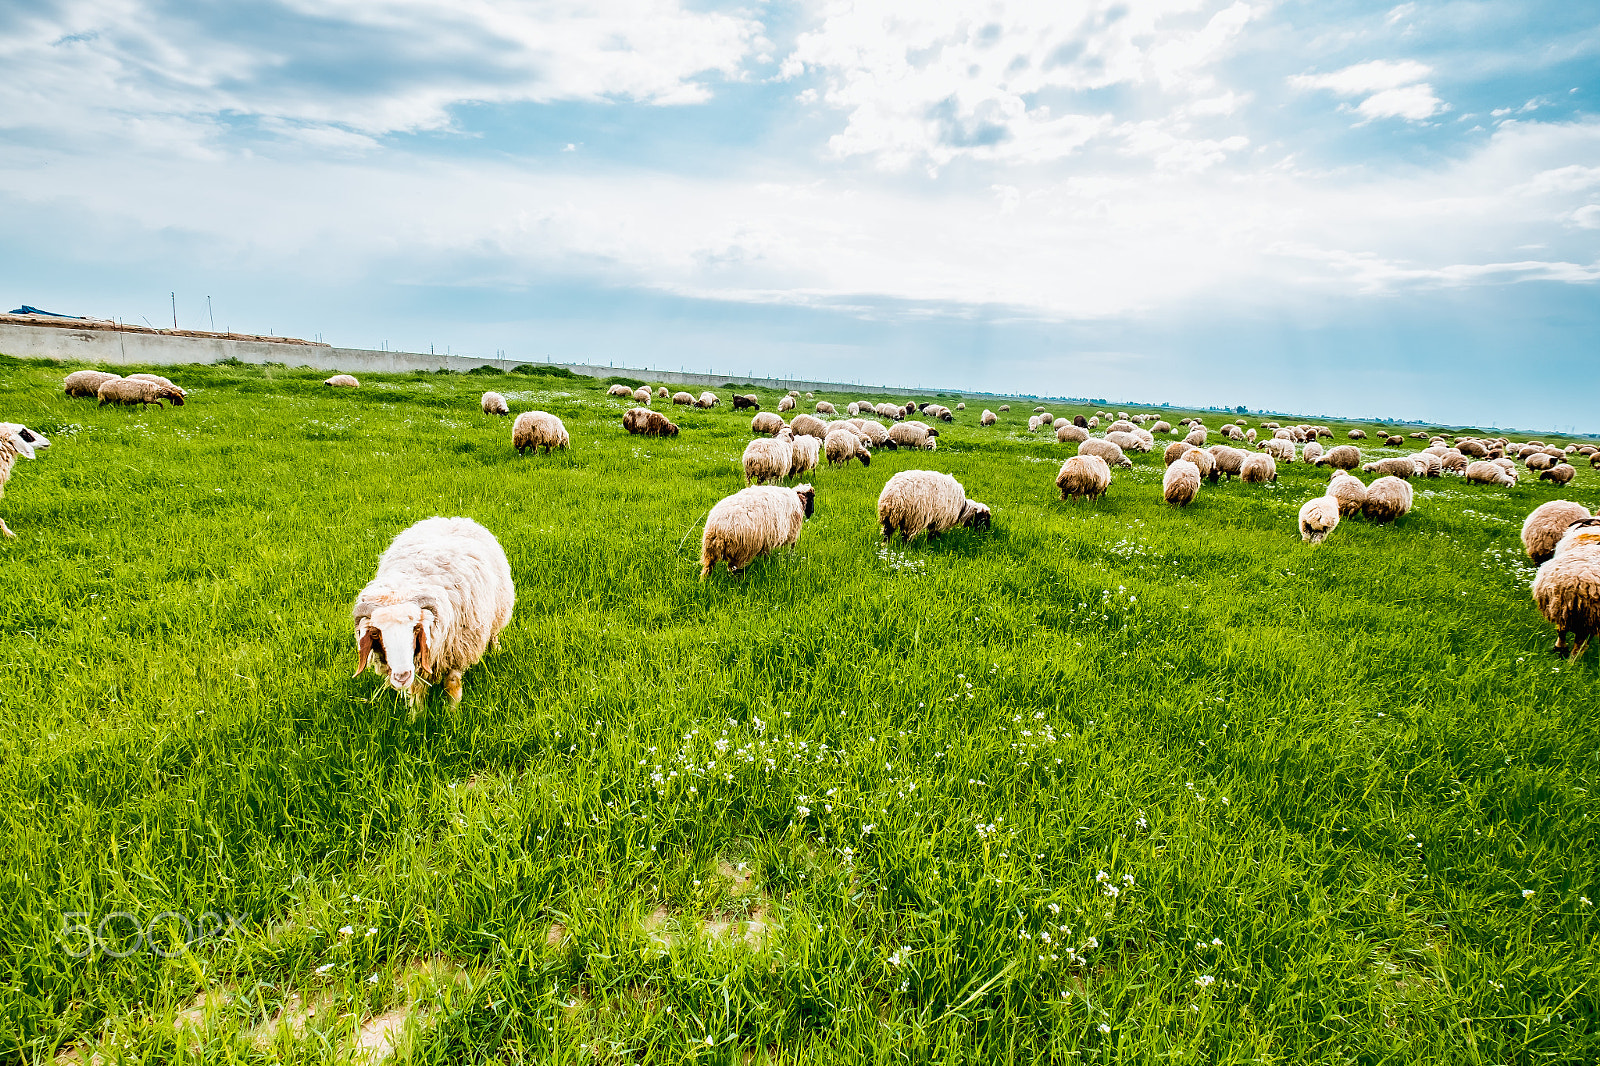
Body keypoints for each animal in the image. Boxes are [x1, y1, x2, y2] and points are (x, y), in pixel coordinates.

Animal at [352, 516, 515, 705]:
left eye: (416, 629)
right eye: (375, 634)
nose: (401, 676)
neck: (405, 587)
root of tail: (451, 519)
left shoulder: (457, 651)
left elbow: (453, 685)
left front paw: (452, 710)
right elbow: (417, 693)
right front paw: (417, 712)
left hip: (499, 611)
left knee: (494, 633)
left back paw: (495, 649)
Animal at [1532, 517, 1600, 657]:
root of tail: (1580, 583)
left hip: (1562, 605)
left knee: (1564, 631)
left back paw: (1562, 652)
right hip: (1587, 615)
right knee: (1578, 640)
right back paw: (1570, 657)